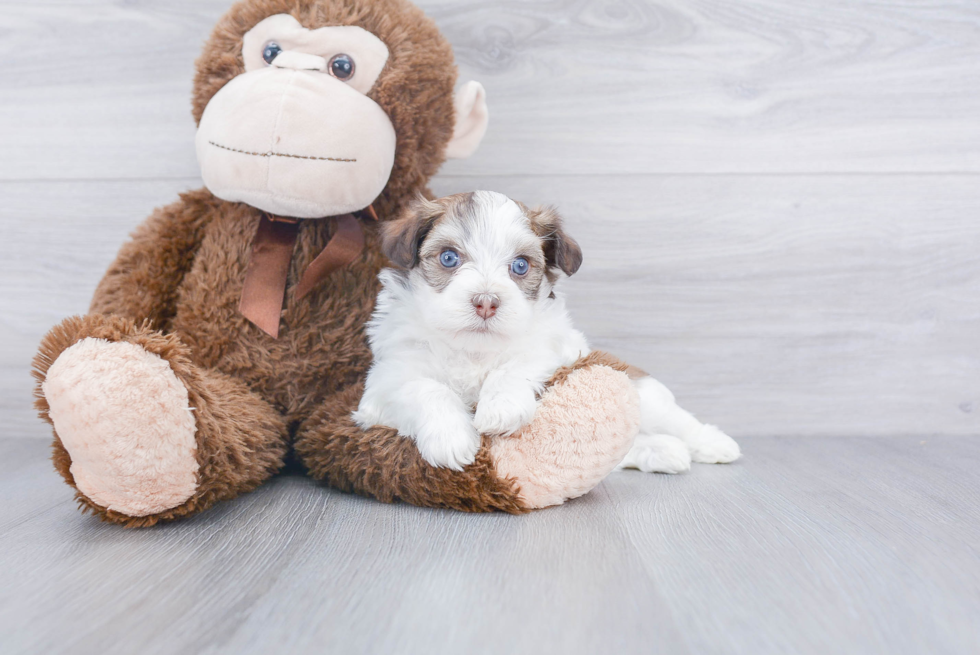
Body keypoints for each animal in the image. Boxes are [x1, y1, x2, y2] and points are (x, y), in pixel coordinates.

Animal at [348, 192, 740, 474]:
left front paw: (500, 407)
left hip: (645, 394)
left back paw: (713, 445)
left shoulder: (557, 348)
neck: (473, 349)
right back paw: (663, 452)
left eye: (520, 266)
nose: (486, 302)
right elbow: (424, 388)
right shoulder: (385, 380)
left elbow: (520, 362)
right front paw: (451, 437)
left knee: (677, 419)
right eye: (448, 258)